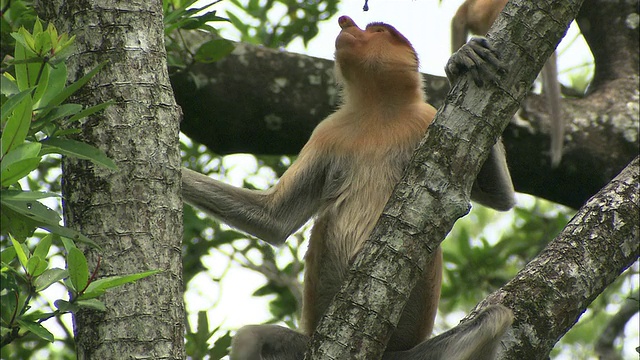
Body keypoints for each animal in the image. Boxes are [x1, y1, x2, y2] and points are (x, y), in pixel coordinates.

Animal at [182, 15, 512, 358]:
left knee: (495, 318)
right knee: (251, 337)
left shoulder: (426, 117)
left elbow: (500, 199)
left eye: (377, 31)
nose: (345, 22)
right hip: (306, 344)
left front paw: (462, 60)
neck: (376, 108)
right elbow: (274, 218)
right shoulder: (327, 131)